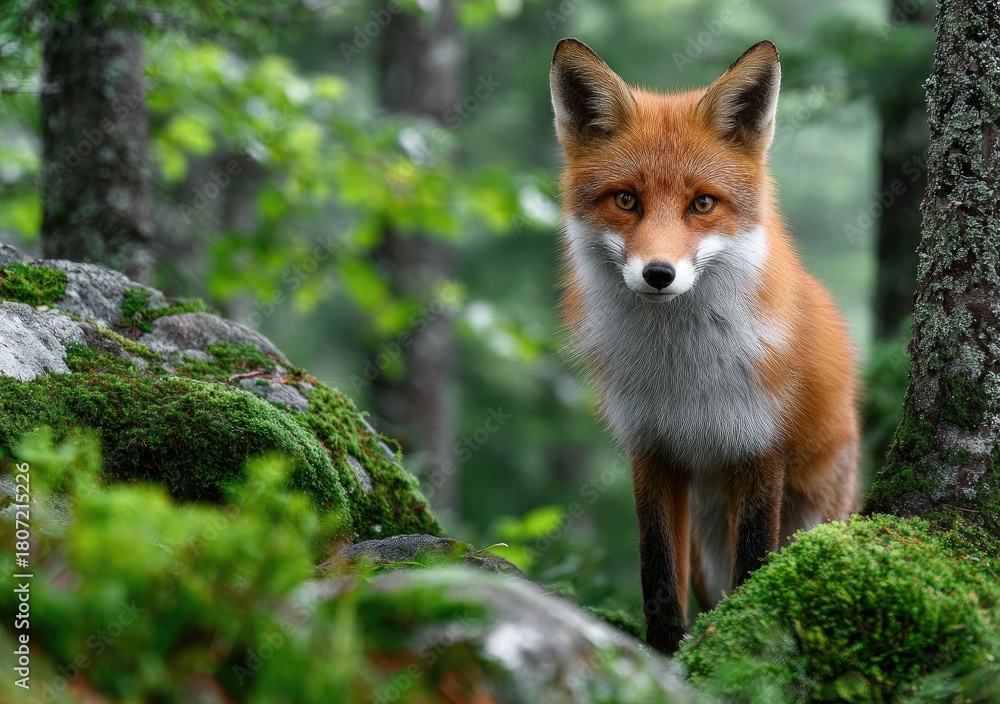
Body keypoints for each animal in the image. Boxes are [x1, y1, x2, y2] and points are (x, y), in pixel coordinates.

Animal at [549, 38, 859, 654]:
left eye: (702, 204)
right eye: (626, 200)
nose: (658, 273)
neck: (682, 369)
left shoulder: (760, 447)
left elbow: (754, 563)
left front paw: (735, 641)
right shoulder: (651, 448)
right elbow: (656, 570)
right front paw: (665, 650)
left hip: (812, 513)